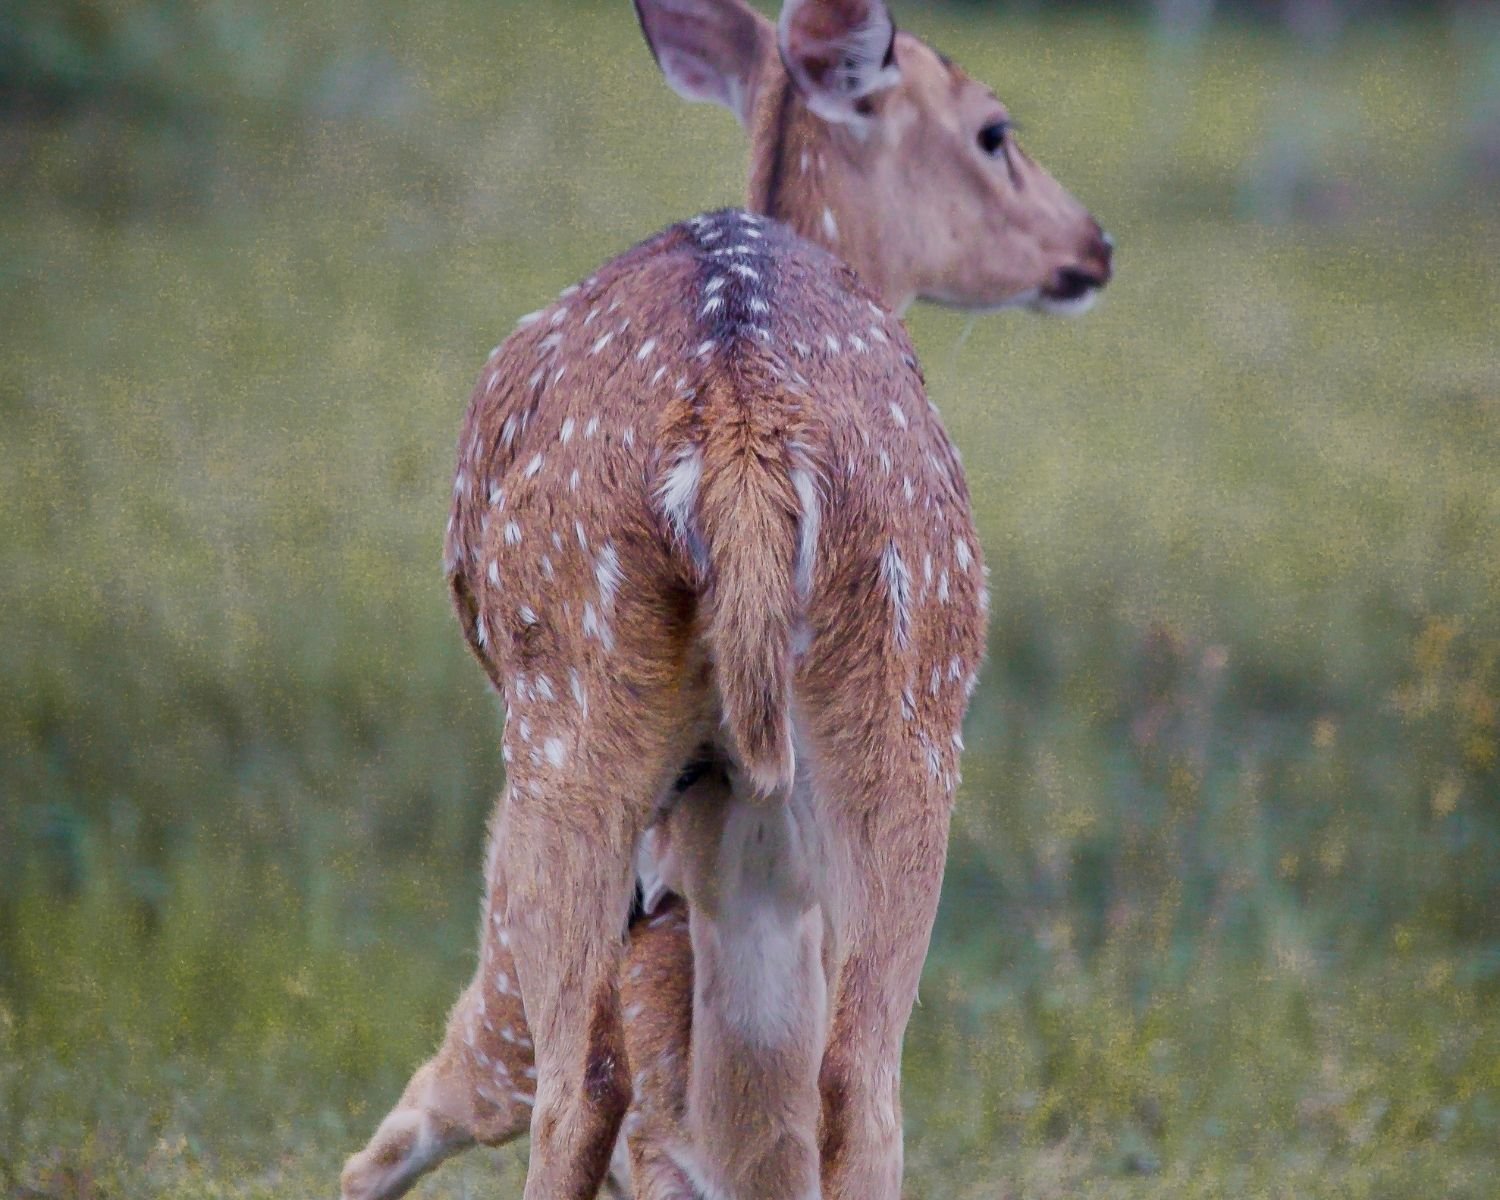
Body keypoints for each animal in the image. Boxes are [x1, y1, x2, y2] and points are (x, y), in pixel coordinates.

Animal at [341, 0, 1111, 1197]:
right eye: (994, 131)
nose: (1093, 246)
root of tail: (742, 423)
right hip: (901, 713)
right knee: (853, 1079)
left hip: (573, 711)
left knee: (577, 1080)